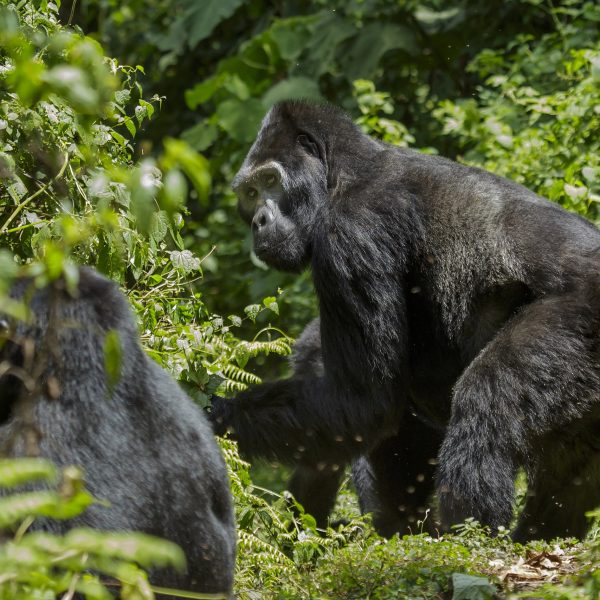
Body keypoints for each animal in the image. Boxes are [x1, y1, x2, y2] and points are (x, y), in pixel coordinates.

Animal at [212, 101, 600, 540]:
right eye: (249, 193)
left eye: (270, 180)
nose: (258, 220)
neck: (342, 172)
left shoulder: (350, 232)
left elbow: (364, 403)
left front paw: (216, 414)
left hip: (583, 315)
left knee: (486, 397)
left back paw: (472, 537)